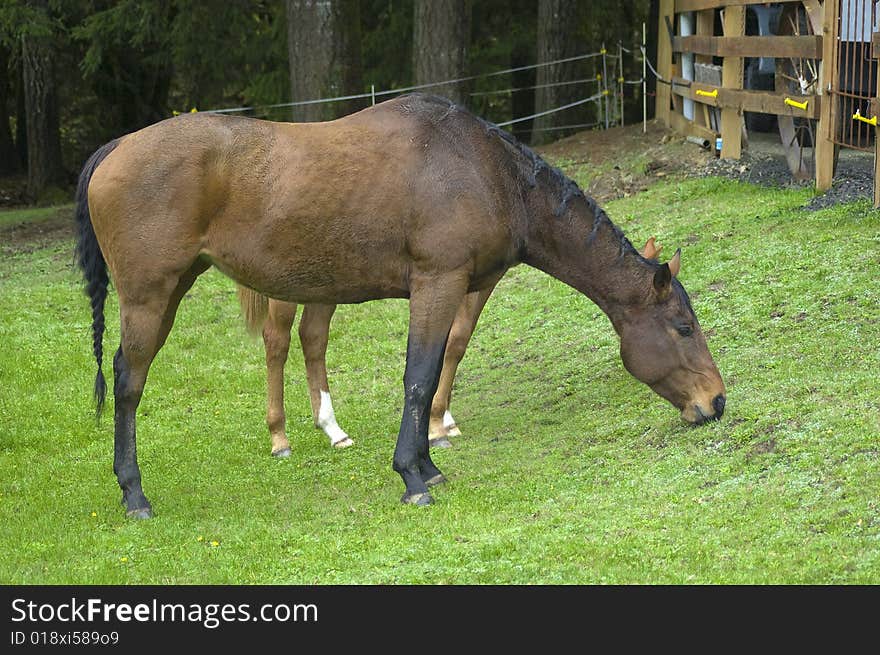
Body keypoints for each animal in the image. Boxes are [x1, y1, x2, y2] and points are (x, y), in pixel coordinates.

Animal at [237, 236, 664, 456]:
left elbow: (451, 345)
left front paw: (441, 419)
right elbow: (455, 342)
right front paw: (438, 422)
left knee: (313, 337)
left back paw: (333, 429)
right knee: (277, 341)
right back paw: (280, 437)